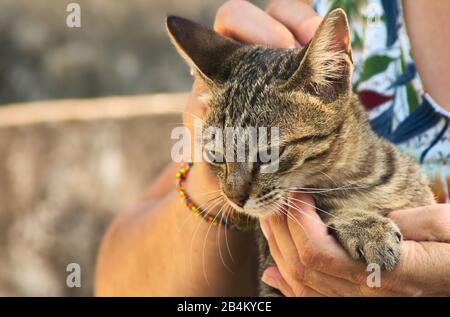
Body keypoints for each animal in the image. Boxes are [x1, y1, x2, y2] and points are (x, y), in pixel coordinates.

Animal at [166, 9, 436, 296]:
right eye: (216, 156)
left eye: (268, 154)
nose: (233, 198)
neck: (358, 178)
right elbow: (327, 205)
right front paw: (366, 226)